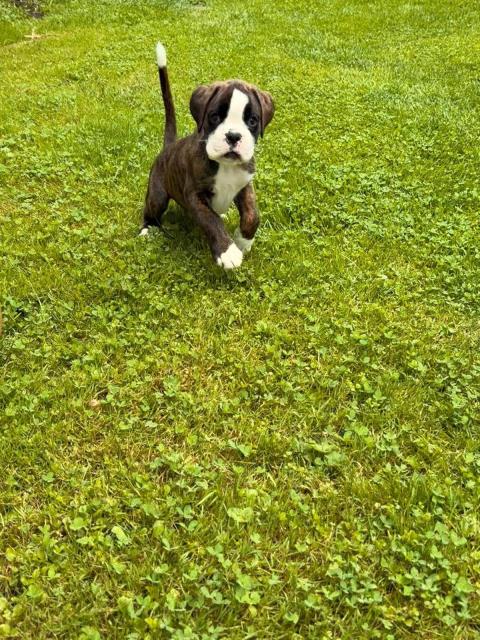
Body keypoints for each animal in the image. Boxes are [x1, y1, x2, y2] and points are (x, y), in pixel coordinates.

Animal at [141, 43, 274, 269]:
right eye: (214, 117)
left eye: (253, 121)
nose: (233, 135)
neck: (225, 166)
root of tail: (169, 147)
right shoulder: (195, 195)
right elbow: (211, 220)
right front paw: (227, 251)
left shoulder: (244, 186)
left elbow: (253, 215)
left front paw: (243, 241)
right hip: (157, 195)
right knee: (151, 211)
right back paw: (146, 230)